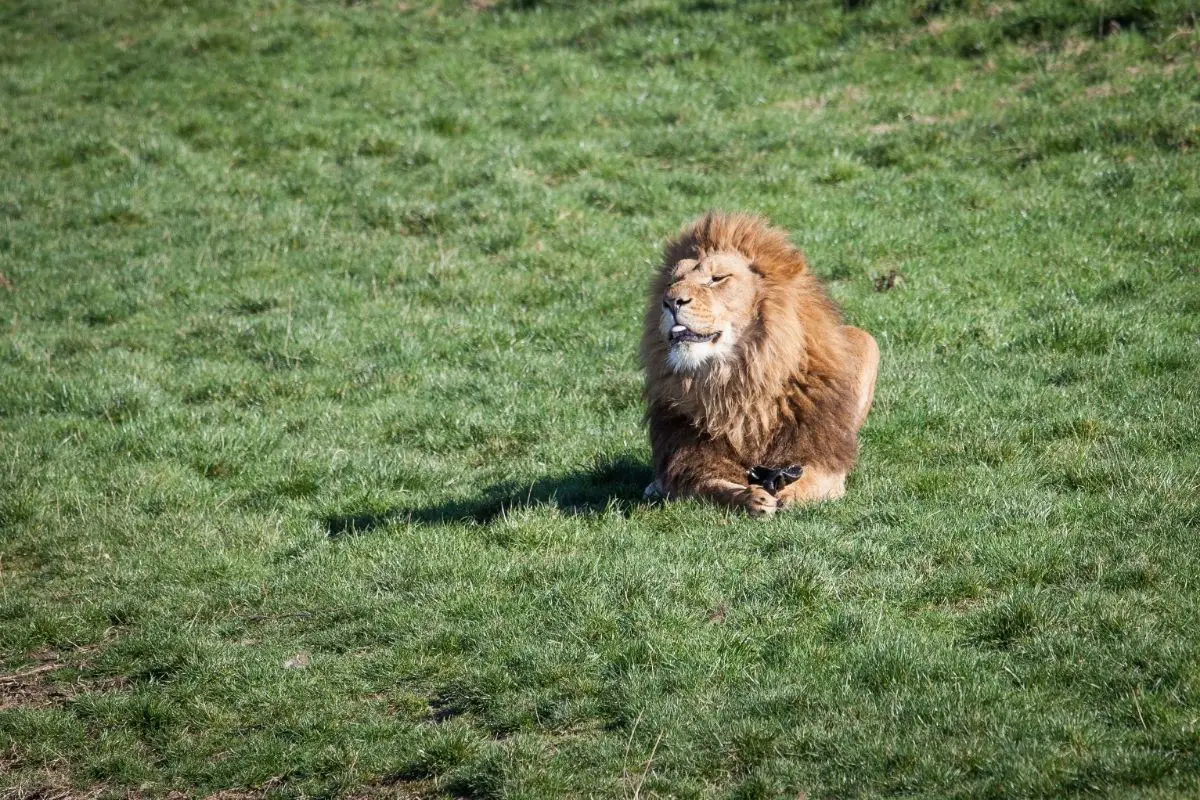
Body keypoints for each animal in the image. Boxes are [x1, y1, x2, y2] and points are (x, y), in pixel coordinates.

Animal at [638, 211, 883, 520]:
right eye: (673, 280)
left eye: (717, 279)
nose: (670, 301)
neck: (740, 378)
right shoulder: (690, 460)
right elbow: (711, 485)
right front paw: (751, 496)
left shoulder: (823, 455)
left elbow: (814, 479)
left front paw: (790, 494)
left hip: (866, 340)